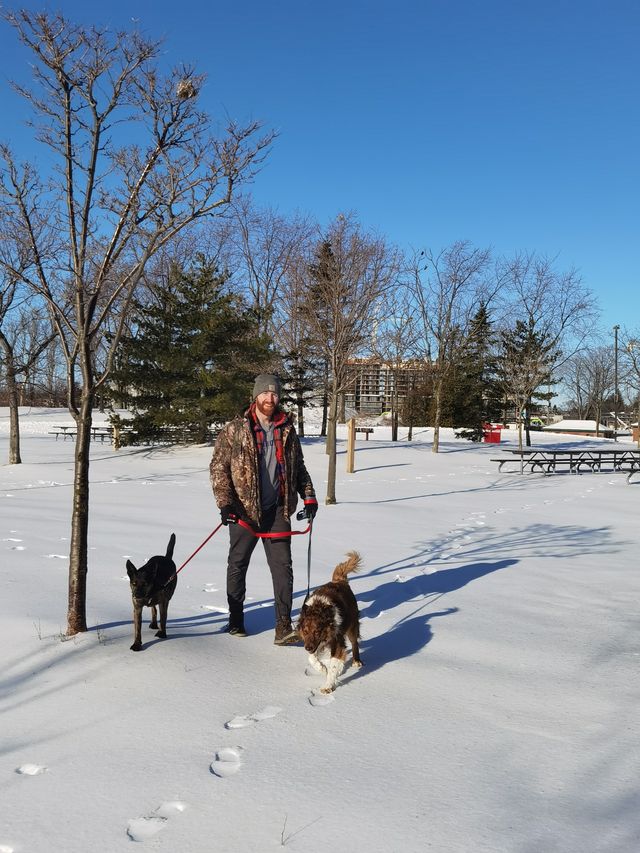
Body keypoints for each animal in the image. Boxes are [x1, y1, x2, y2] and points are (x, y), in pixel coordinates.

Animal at [298, 552, 362, 692]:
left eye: (317, 632)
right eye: (305, 631)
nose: (307, 647)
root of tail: (339, 580)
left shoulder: (336, 639)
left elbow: (334, 664)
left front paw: (328, 685)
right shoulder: (315, 644)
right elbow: (312, 658)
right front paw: (322, 669)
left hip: (352, 625)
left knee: (354, 642)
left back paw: (356, 661)